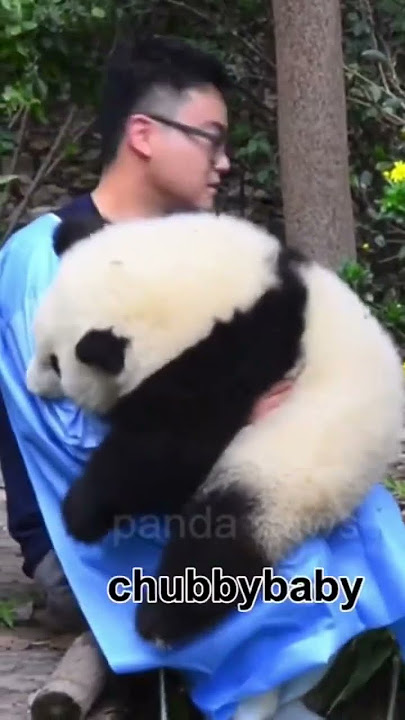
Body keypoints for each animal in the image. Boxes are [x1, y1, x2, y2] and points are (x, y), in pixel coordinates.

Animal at [26, 211, 404, 649]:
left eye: (56, 363)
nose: (30, 383)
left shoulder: (238, 352)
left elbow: (169, 447)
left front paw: (81, 512)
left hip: (292, 464)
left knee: (223, 532)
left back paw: (162, 620)